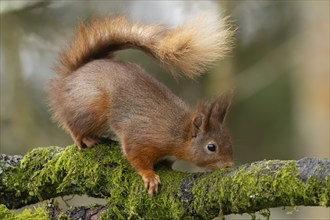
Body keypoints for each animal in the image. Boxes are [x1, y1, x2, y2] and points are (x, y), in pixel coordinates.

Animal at [49, 15, 235, 194]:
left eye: (228, 138)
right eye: (211, 147)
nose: (229, 165)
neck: (177, 131)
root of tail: (69, 79)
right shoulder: (141, 136)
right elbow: (136, 157)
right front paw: (150, 176)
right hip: (91, 107)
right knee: (73, 125)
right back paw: (85, 138)